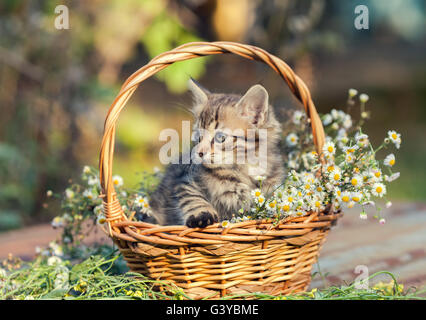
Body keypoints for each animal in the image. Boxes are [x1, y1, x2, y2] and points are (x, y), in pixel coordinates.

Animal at [148, 78, 284, 226]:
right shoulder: (183, 180)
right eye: (199, 136)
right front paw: (202, 215)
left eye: (220, 137)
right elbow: (193, 198)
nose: (199, 153)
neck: (242, 169)